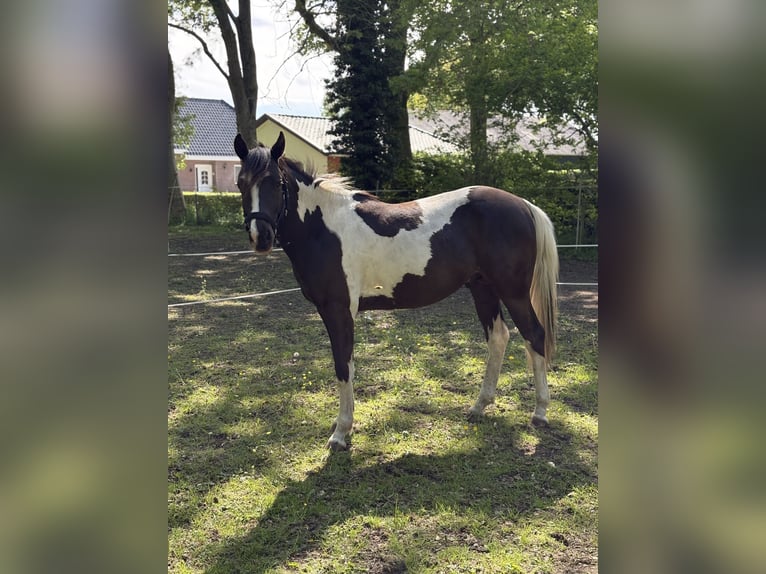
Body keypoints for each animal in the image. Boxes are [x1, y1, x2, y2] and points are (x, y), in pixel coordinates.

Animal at [234, 131, 559, 451]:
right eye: (241, 183)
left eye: (276, 183)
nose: (261, 237)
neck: (322, 228)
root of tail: (524, 205)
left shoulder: (338, 310)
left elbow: (343, 366)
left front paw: (341, 432)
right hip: (483, 288)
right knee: (498, 338)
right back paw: (479, 406)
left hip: (513, 292)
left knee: (534, 335)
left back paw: (540, 412)